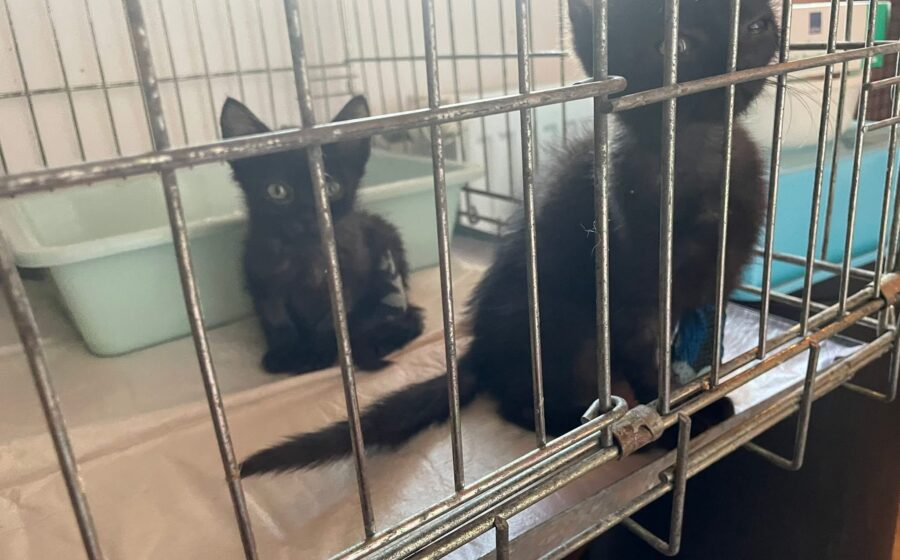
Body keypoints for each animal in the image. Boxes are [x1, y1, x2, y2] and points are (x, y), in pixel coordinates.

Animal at [220, 96, 424, 375]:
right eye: (277, 191)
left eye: (331, 188)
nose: (308, 216)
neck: (308, 255)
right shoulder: (261, 278)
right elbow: (276, 318)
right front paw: (284, 351)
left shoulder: (350, 278)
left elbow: (333, 321)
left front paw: (318, 353)